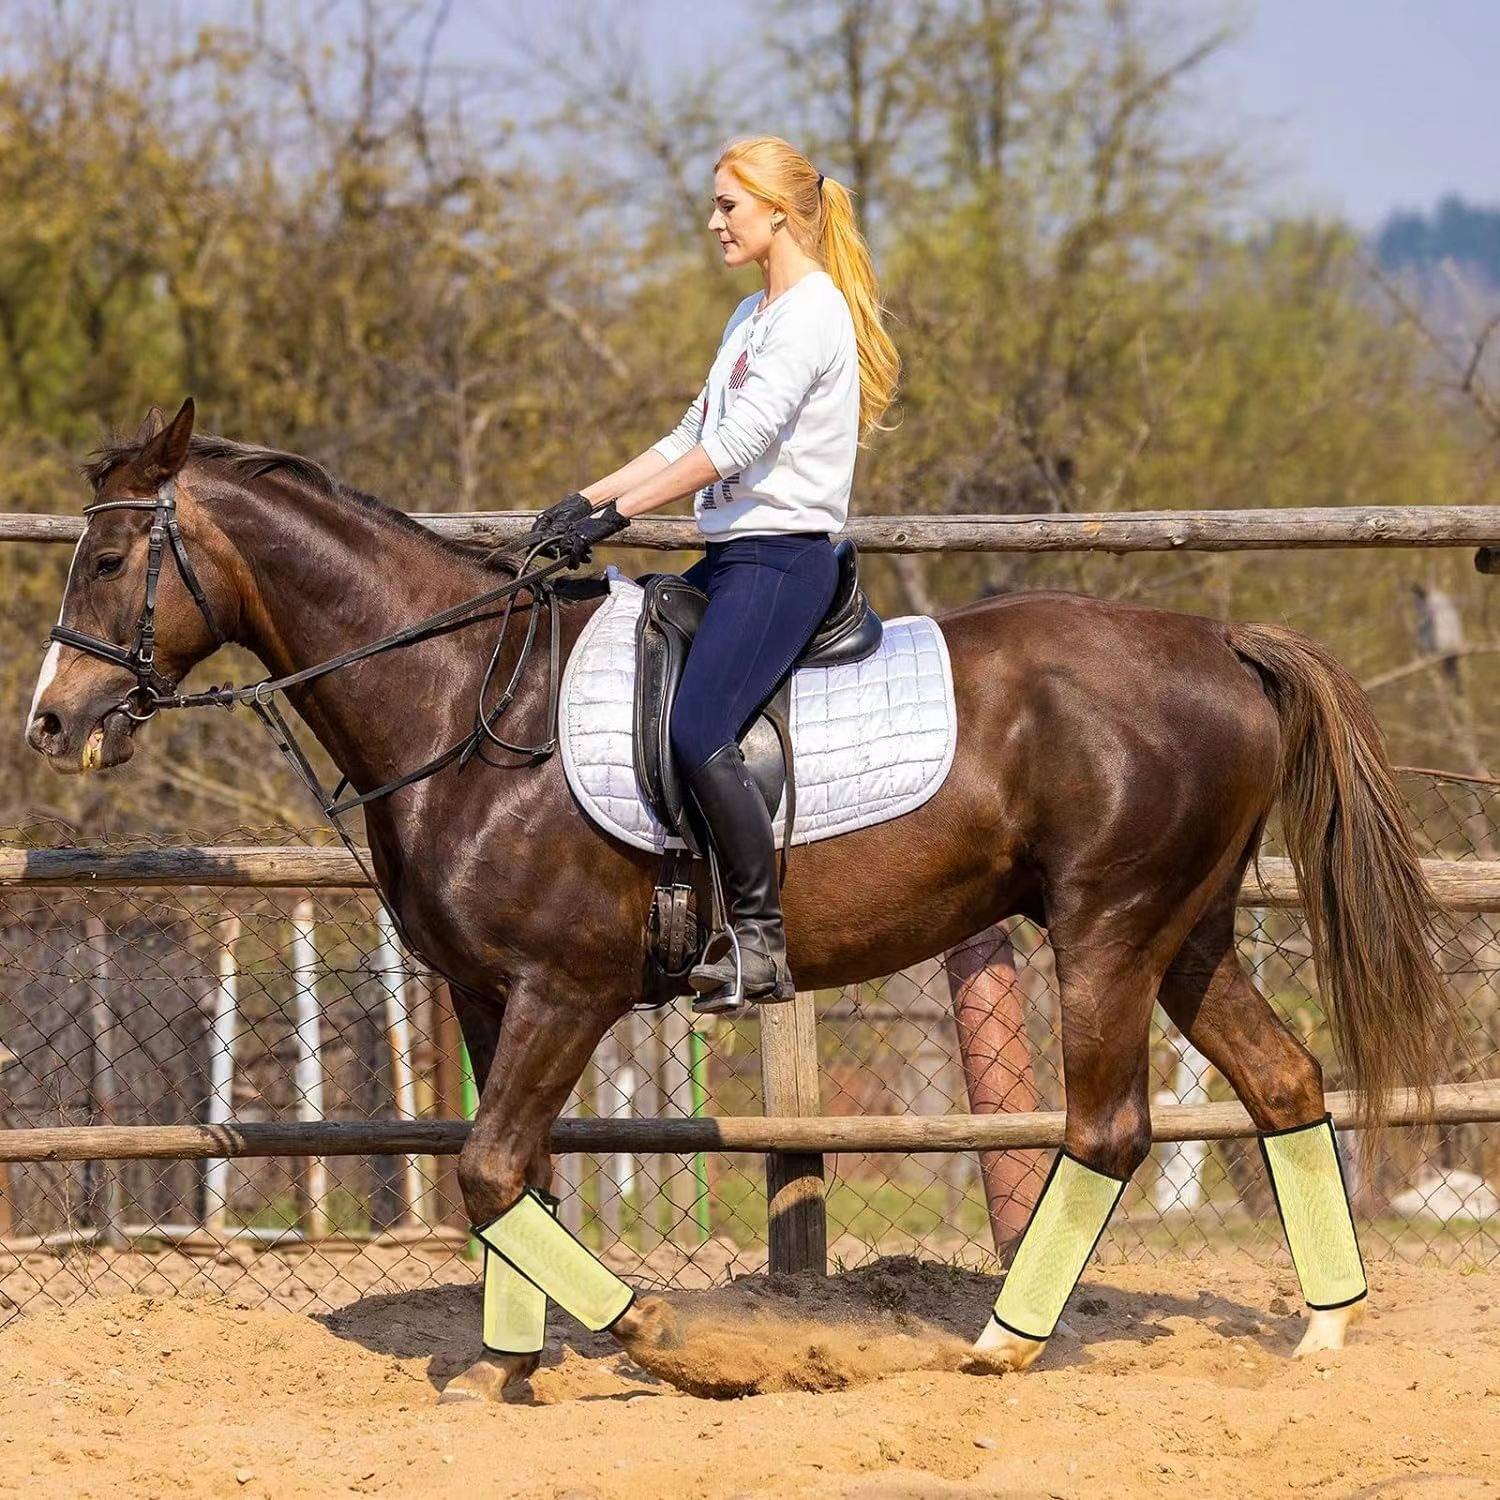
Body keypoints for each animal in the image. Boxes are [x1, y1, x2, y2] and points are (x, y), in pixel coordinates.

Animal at [27, 400, 1455, 1398]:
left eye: (109, 557)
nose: (50, 723)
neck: (464, 704)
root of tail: (1221, 644)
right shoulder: (490, 996)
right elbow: (509, 1176)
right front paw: (504, 1369)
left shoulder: (567, 992)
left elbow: (489, 1171)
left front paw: (655, 1336)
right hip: (1185, 933)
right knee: (1286, 1084)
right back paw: (1324, 1332)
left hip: (1109, 928)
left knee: (1107, 1130)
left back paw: (1003, 1344)